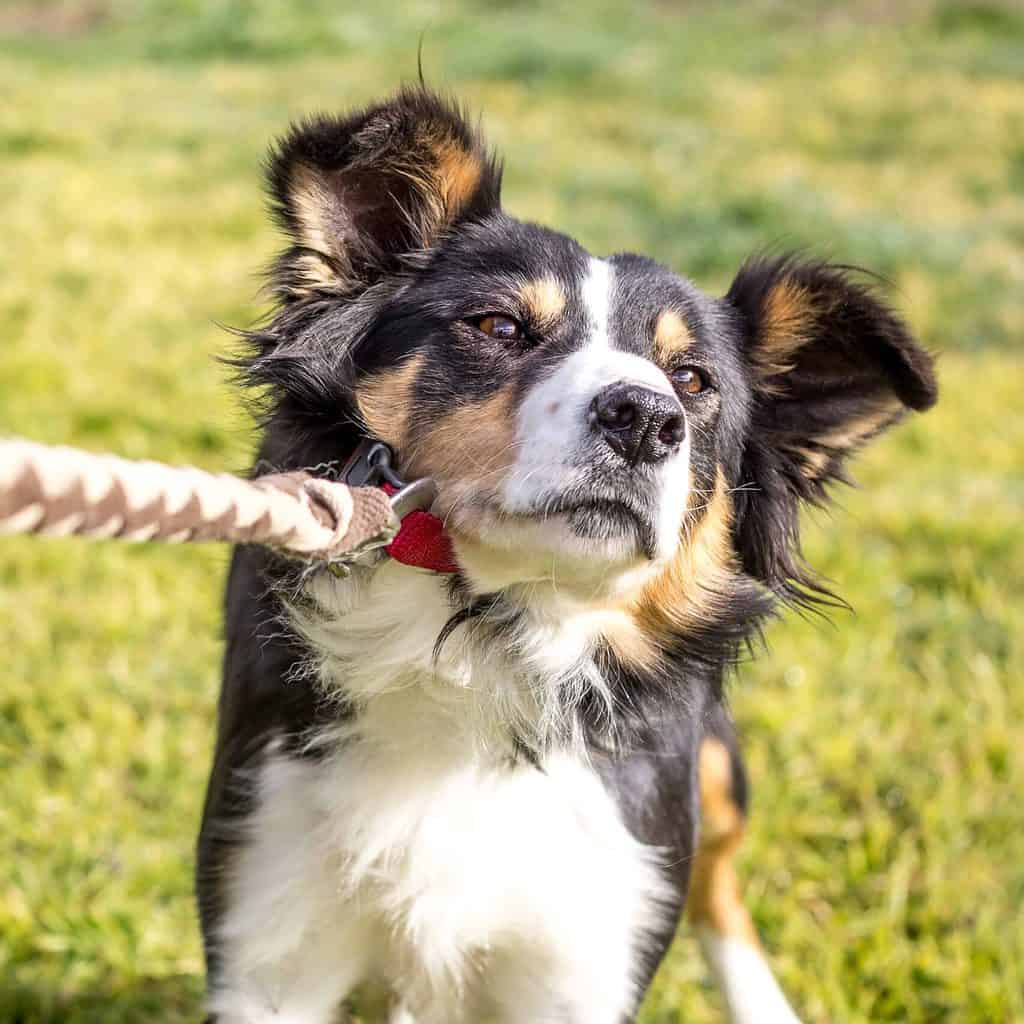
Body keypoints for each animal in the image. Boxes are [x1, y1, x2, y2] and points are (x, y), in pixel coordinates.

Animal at [195, 90, 937, 1024]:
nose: (647, 420)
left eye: (693, 381)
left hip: (714, 768)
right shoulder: (270, 926)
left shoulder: (588, 937)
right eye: (499, 326)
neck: (486, 645)